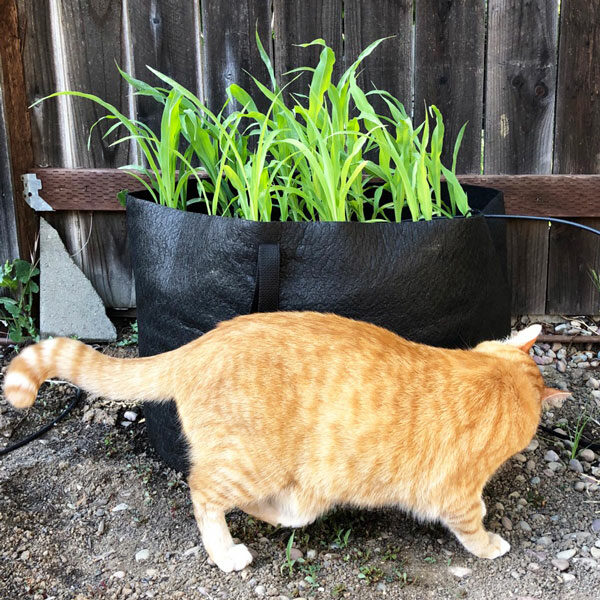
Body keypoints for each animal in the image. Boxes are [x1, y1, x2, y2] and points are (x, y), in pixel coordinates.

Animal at [3, 314, 568, 572]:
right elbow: (473, 525)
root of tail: (199, 345)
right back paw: (226, 553)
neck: (494, 376)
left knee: (281, 510)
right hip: (251, 464)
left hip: (302, 489)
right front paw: (491, 544)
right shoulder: (457, 495)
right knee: (201, 490)